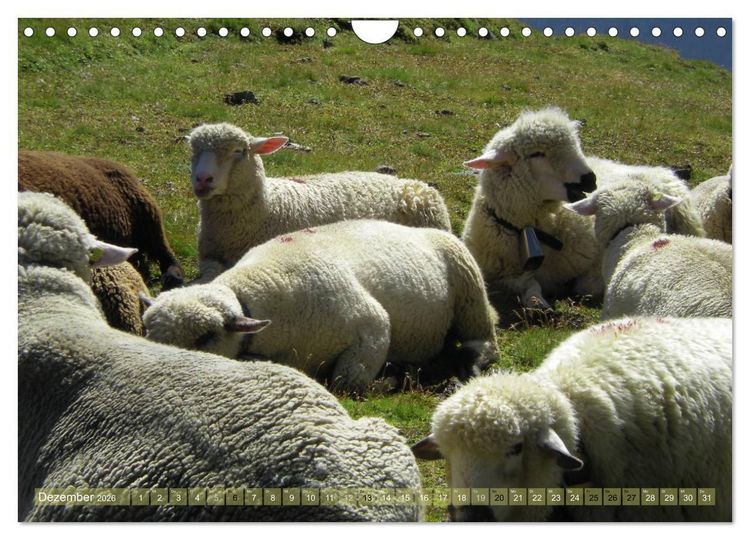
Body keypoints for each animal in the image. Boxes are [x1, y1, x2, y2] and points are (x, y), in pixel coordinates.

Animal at [143, 219, 499, 393]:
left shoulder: (371, 327)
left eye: (205, 337)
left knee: (484, 344)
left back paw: (463, 369)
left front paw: (390, 380)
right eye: (147, 333)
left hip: (471, 294)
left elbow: (346, 383)